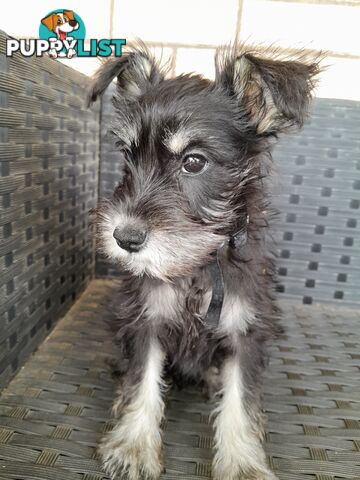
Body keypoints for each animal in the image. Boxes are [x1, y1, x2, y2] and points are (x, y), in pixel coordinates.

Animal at [88, 45, 320, 480]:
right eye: (128, 154)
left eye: (194, 162)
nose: (124, 238)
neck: (198, 265)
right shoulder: (146, 320)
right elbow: (142, 382)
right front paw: (133, 447)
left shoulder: (246, 332)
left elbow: (240, 402)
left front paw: (243, 463)